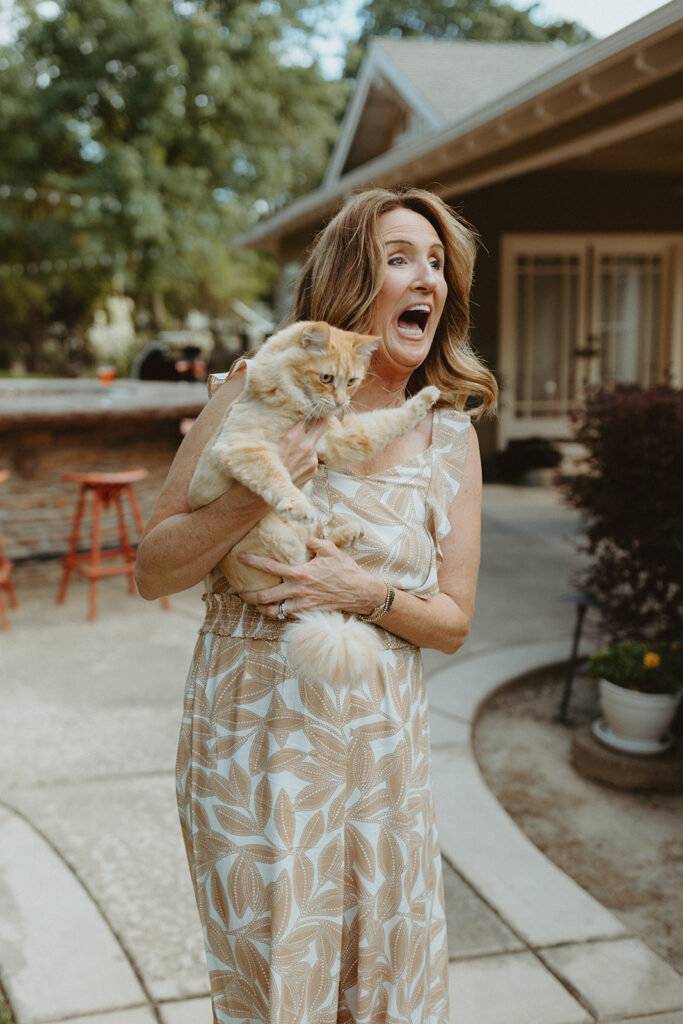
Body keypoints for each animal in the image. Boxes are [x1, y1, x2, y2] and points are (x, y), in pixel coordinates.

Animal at [187, 319, 438, 688]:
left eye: (352, 381)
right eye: (326, 378)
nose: (341, 401)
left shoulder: (337, 439)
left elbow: (387, 422)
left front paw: (428, 398)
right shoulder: (243, 447)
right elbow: (275, 477)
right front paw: (296, 506)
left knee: (318, 547)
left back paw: (348, 534)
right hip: (271, 534)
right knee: (301, 560)